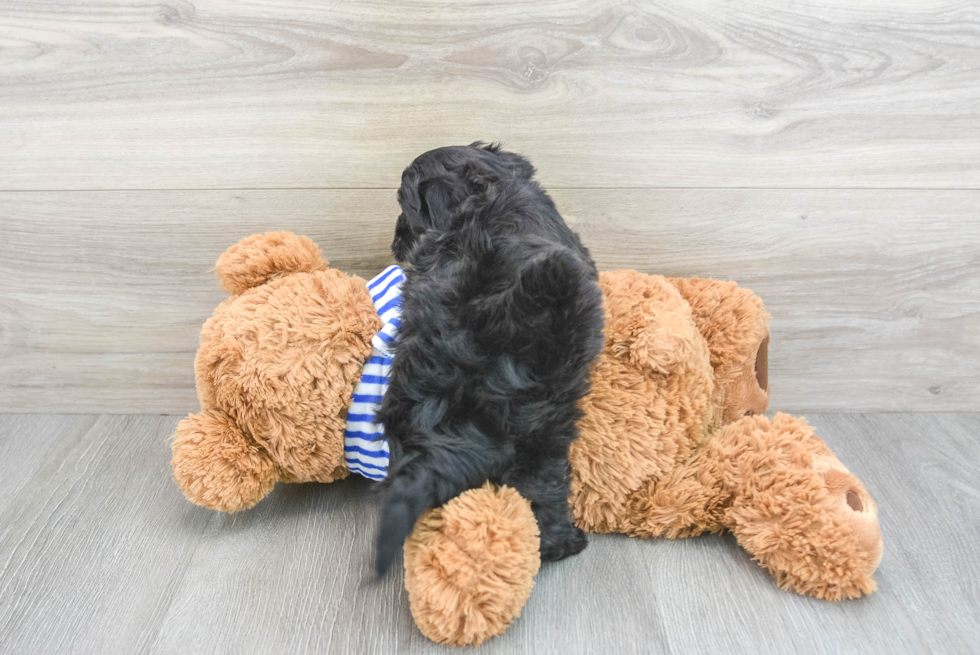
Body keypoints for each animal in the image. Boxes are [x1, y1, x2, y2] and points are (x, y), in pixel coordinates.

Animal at [376, 144, 604, 576]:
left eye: (403, 204)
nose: (396, 239)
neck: (489, 187)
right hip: (550, 426)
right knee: (544, 490)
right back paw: (562, 543)